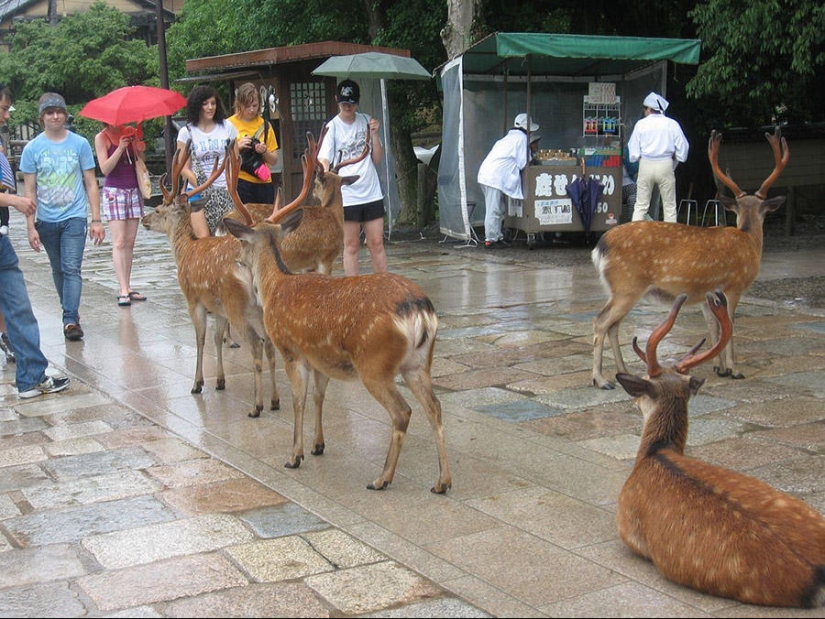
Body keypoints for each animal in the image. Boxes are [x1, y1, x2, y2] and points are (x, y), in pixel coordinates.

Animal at [140, 143, 284, 418]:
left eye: (158, 209)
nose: (143, 220)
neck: (184, 250)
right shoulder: (218, 307)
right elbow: (218, 338)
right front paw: (220, 381)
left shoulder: (193, 298)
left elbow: (200, 338)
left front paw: (197, 383)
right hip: (255, 307)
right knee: (270, 343)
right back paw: (274, 400)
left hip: (237, 305)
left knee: (256, 343)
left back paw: (256, 406)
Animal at [220, 142, 450, 494]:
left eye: (242, 241)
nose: (237, 259)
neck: (275, 287)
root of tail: (420, 311)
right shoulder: (319, 357)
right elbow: (319, 396)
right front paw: (318, 445)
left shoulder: (291, 349)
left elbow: (299, 400)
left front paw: (294, 455)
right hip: (418, 362)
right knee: (435, 408)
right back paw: (442, 481)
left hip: (375, 363)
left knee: (403, 412)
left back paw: (382, 478)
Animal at [588, 126, 788, 390]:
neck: (749, 240)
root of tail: (600, 248)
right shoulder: (733, 286)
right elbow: (730, 326)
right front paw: (734, 370)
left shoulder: (706, 294)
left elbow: (714, 328)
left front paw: (719, 368)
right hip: (626, 285)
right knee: (601, 321)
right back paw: (600, 379)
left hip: (622, 290)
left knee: (613, 325)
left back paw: (624, 372)